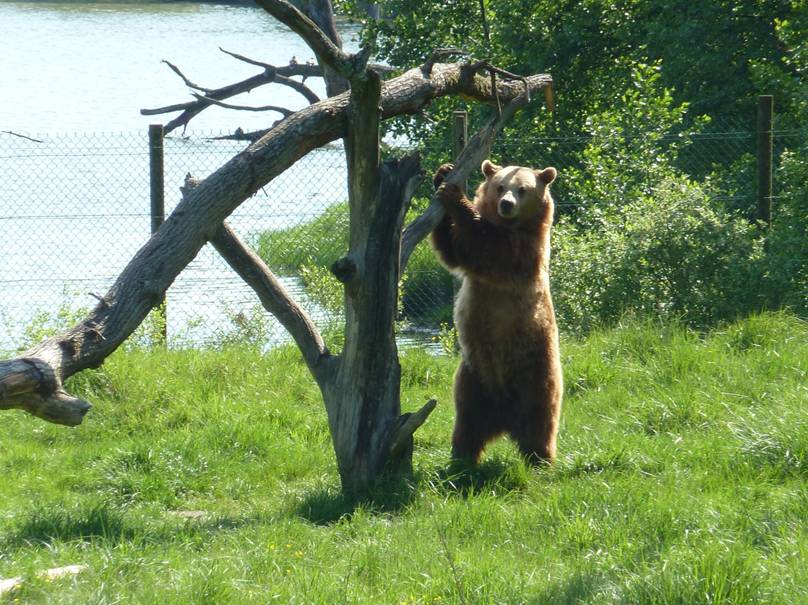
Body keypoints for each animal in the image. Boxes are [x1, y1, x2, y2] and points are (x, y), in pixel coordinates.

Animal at [431, 159, 563, 465]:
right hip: (473, 377)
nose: (506, 204)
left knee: (540, 420)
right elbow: (452, 250)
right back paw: (462, 457)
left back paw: (541, 459)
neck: (508, 224)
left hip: (536, 372)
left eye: (523, 189)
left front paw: (455, 196)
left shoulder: (524, 252)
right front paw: (443, 174)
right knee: (467, 420)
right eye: (501, 185)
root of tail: (504, 419)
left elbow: (485, 247)